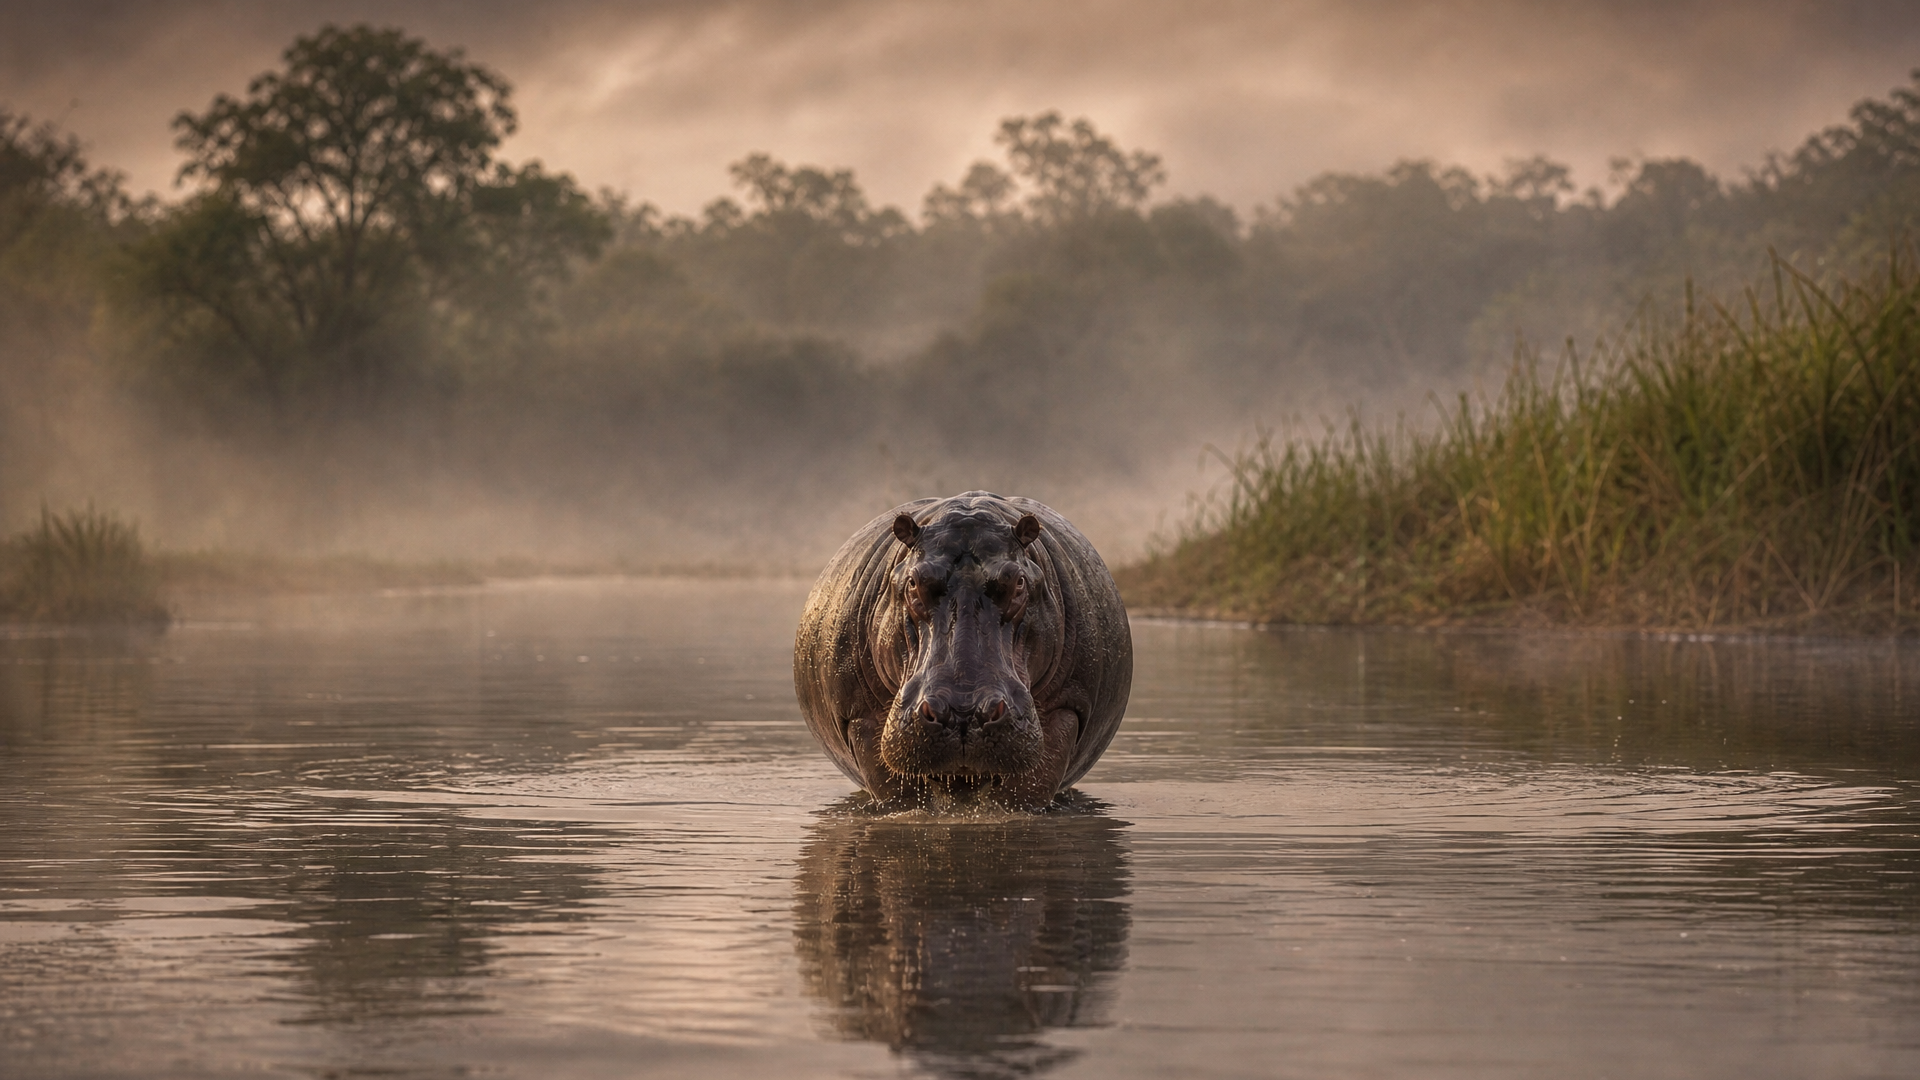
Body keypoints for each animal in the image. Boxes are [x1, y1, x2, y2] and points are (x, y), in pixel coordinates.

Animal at [793, 492, 1132, 809]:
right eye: (913, 582)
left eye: (1019, 582)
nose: (963, 712)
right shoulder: (861, 716)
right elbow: (898, 795)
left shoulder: (1066, 709)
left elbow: (1026, 792)